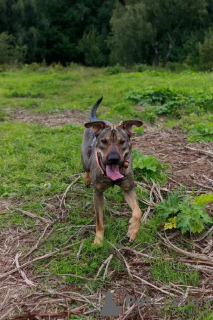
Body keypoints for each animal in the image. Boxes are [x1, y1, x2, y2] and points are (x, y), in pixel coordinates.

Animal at [81, 98, 143, 245]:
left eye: (122, 142)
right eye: (104, 141)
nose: (113, 159)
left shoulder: (128, 189)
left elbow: (138, 212)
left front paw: (132, 230)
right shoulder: (97, 192)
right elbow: (99, 220)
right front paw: (98, 240)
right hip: (84, 159)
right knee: (86, 169)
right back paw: (87, 179)